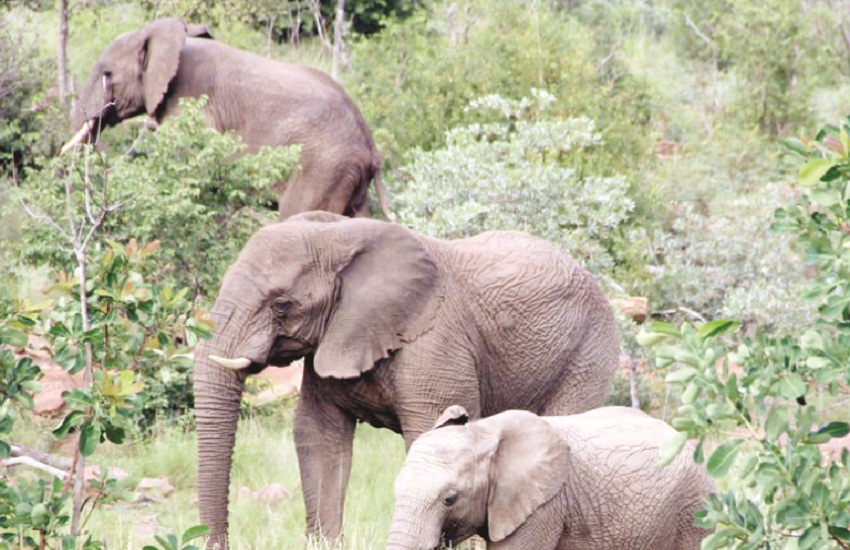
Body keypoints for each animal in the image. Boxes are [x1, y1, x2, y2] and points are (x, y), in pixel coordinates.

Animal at [192, 211, 620, 547]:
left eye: (281, 304)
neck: (340, 234)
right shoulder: (333, 342)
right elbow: (319, 436)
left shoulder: (436, 343)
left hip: (588, 351)